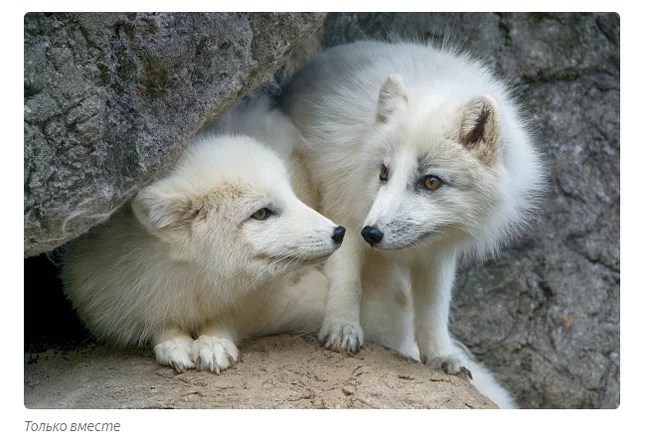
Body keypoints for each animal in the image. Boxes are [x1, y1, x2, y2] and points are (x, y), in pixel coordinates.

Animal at [62, 97, 344, 374]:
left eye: (291, 195)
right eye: (261, 213)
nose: (339, 232)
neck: (195, 282)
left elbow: (232, 315)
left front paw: (214, 340)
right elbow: (154, 319)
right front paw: (172, 342)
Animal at [278, 42, 540, 410]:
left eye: (431, 182)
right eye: (383, 173)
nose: (371, 234)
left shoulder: (439, 251)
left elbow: (434, 307)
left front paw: (441, 356)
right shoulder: (345, 212)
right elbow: (347, 279)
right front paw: (342, 328)